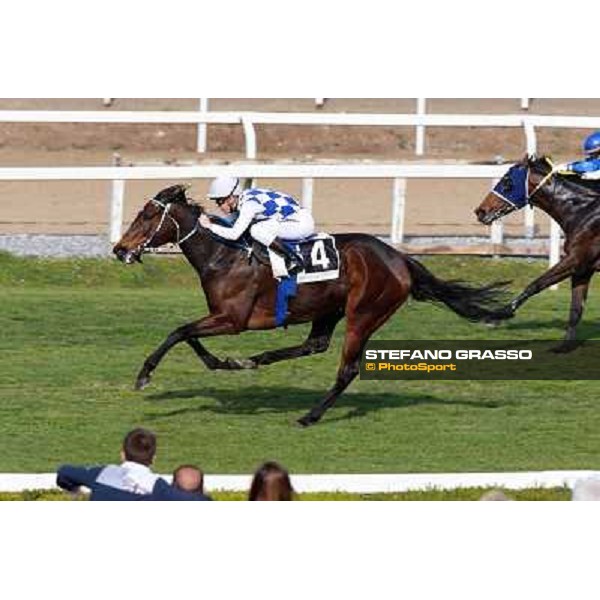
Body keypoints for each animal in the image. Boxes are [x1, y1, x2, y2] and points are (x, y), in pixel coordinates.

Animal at [112, 185, 506, 424]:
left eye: (147, 216)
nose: (119, 249)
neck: (223, 255)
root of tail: (399, 259)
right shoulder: (221, 316)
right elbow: (187, 334)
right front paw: (221, 362)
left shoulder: (232, 319)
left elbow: (178, 331)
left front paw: (144, 375)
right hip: (328, 310)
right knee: (313, 345)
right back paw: (253, 361)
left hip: (363, 313)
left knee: (346, 369)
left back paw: (310, 416)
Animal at [478, 155, 600, 352]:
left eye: (507, 181)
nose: (480, 211)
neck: (583, 210)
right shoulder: (583, 268)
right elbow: (575, 308)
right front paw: (565, 346)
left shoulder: (576, 258)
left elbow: (535, 285)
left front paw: (496, 316)